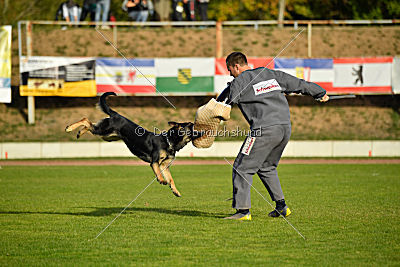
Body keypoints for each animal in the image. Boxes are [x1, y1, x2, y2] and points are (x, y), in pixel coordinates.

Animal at [65, 93, 199, 198]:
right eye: (191, 125)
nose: (201, 129)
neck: (169, 141)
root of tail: (116, 114)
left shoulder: (165, 166)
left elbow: (171, 179)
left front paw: (175, 191)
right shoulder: (154, 162)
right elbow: (158, 173)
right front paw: (161, 180)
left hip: (108, 136)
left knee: (88, 124)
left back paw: (79, 132)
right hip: (103, 131)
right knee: (85, 120)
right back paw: (69, 128)